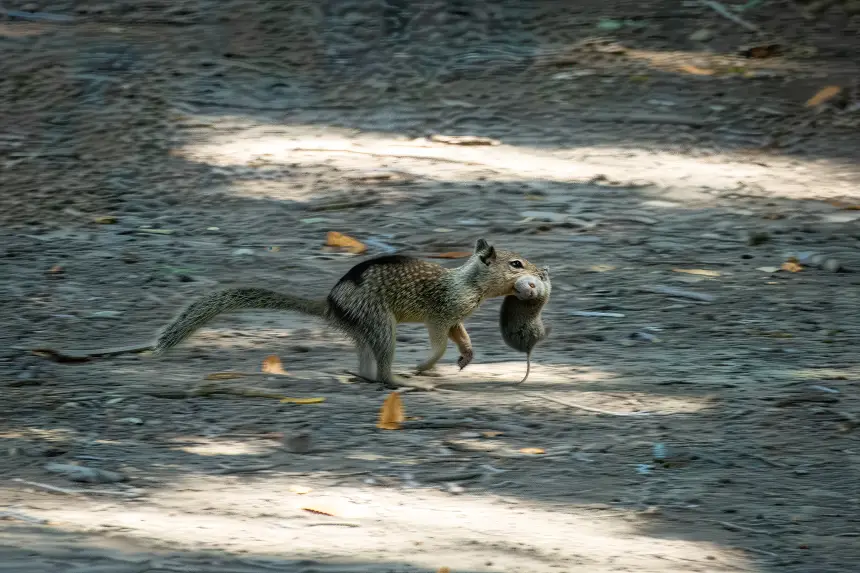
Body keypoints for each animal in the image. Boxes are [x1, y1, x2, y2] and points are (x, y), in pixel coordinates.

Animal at [154, 235, 540, 386]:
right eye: (516, 264)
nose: (541, 274)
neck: (468, 283)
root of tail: (330, 304)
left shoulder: (456, 318)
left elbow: (462, 337)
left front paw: (466, 357)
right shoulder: (441, 313)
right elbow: (440, 342)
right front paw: (425, 365)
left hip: (364, 328)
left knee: (367, 362)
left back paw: (361, 375)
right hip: (381, 323)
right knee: (383, 369)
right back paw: (400, 381)